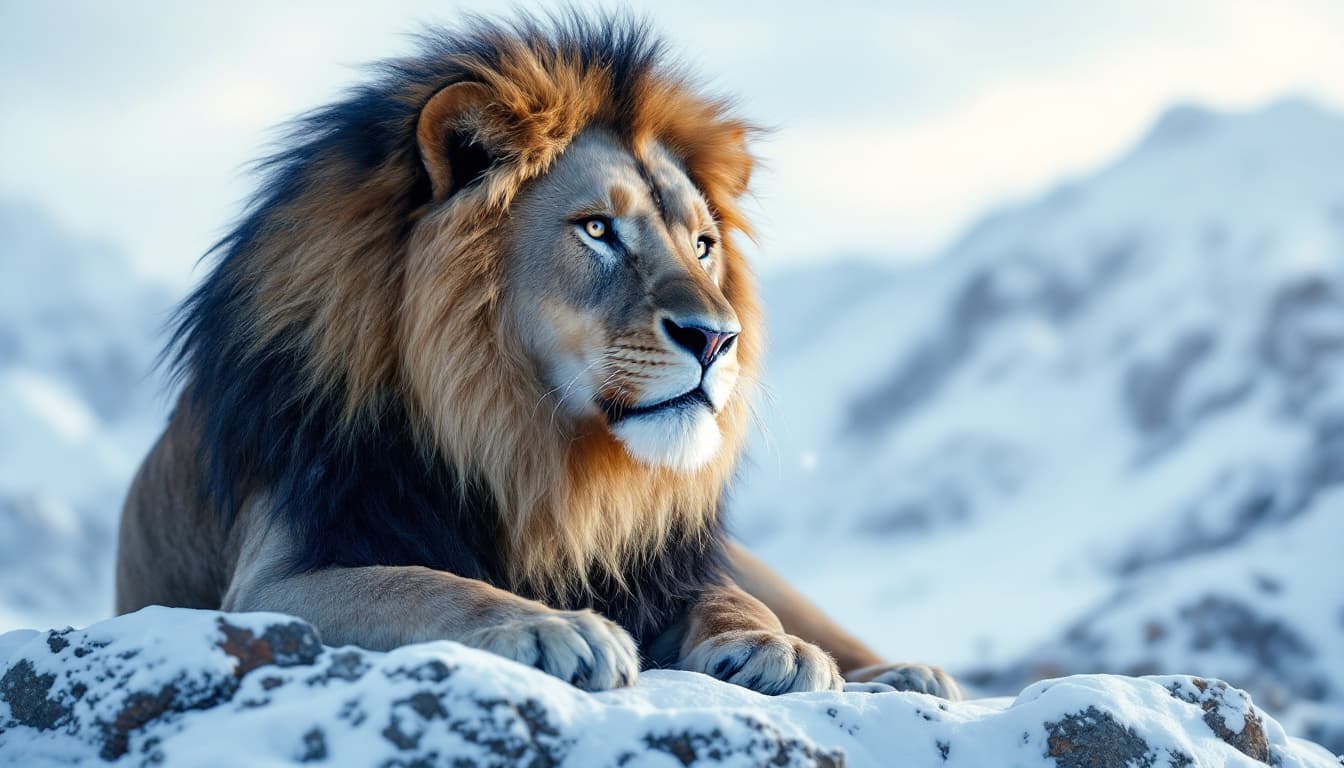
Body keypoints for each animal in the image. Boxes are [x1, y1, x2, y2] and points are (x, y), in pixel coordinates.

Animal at [115, 13, 960, 699]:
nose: (720, 340)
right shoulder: (268, 581)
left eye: (702, 244)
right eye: (597, 230)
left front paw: (771, 646)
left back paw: (904, 671)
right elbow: (421, 583)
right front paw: (553, 627)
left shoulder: (664, 563)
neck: (527, 446)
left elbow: (729, 598)